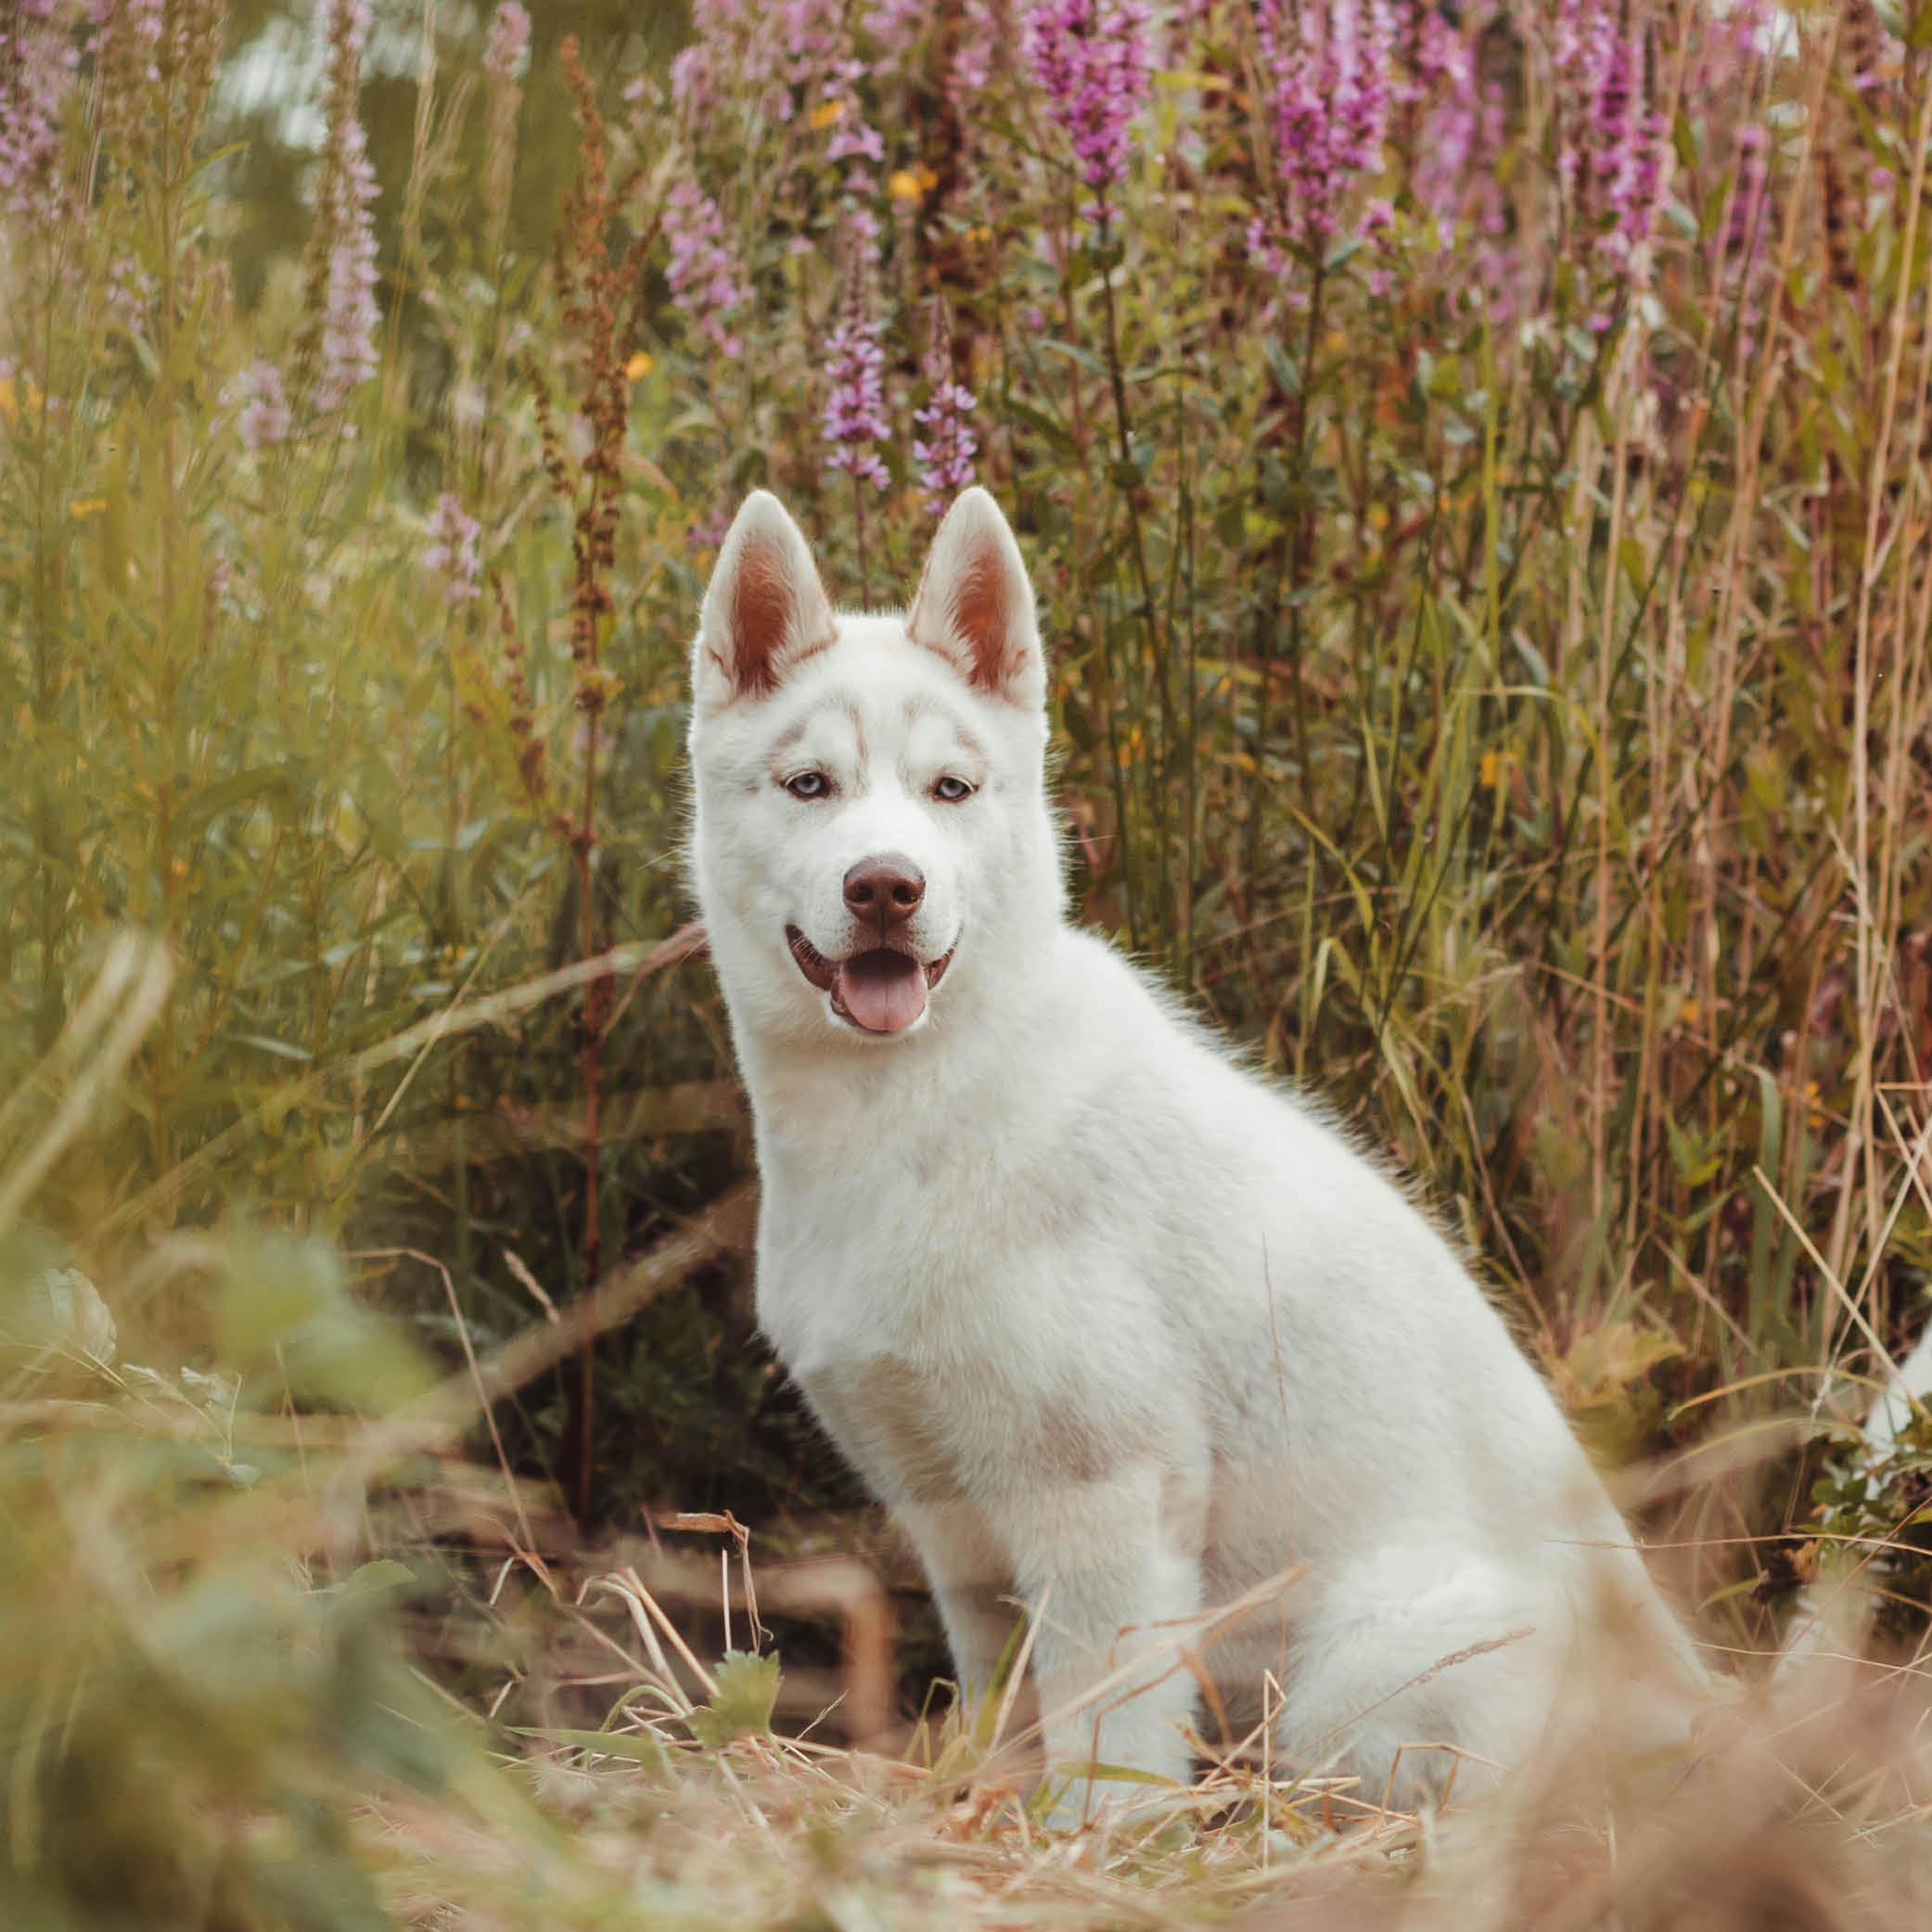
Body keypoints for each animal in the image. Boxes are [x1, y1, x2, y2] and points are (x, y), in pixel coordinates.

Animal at [684, 482, 1708, 1808]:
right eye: (809, 784)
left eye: (950, 789)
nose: (886, 888)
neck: (914, 1114)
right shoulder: (955, 1525)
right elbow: (1005, 1707)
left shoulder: (1105, 1503)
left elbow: (1107, 1750)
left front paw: (1094, 1839)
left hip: (1356, 1682)